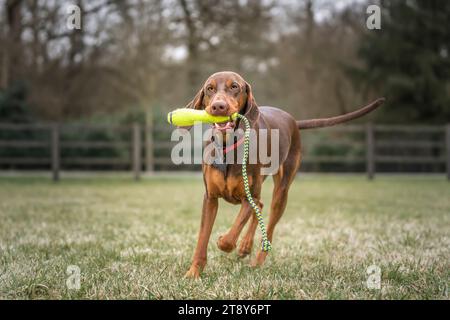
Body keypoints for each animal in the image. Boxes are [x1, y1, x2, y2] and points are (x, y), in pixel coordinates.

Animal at [182, 71, 384, 278]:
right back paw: (245, 246)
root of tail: (293, 120)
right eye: (210, 88)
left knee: (269, 221)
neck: (227, 146)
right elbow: (202, 239)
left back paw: (256, 259)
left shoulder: (249, 196)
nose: (218, 106)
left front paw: (223, 241)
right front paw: (193, 273)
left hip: (282, 189)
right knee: (260, 206)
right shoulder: (210, 198)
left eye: (234, 86)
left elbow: (230, 236)